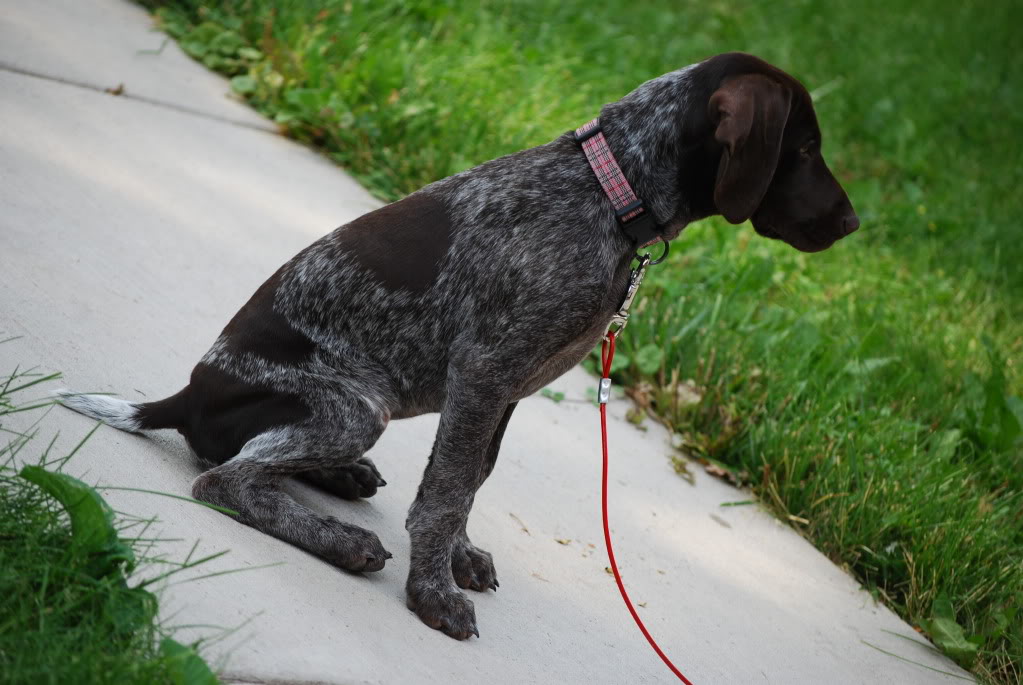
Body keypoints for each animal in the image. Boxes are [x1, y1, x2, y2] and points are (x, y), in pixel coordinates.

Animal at [59, 52, 859, 637]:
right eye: (804, 148)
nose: (852, 224)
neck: (608, 190)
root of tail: (184, 395)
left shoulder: (505, 388)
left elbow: (471, 476)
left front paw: (455, 557)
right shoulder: (484, 373)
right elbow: (446, 491)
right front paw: (431, 590)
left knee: (252, 459)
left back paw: (343, 478)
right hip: (359, 406)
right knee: (226, 478)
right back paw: (340, 537)